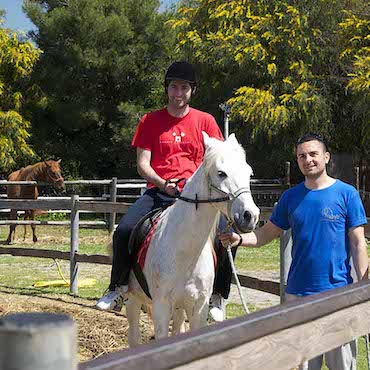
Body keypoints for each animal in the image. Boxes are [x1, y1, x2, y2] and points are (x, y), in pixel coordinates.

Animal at [127, 132, 260, 346]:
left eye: (249, 173)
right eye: (221, 173)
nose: (250, 216)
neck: (183, 253)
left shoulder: (198, 308)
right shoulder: (161, 308)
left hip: (180, 309)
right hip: (133, 300)